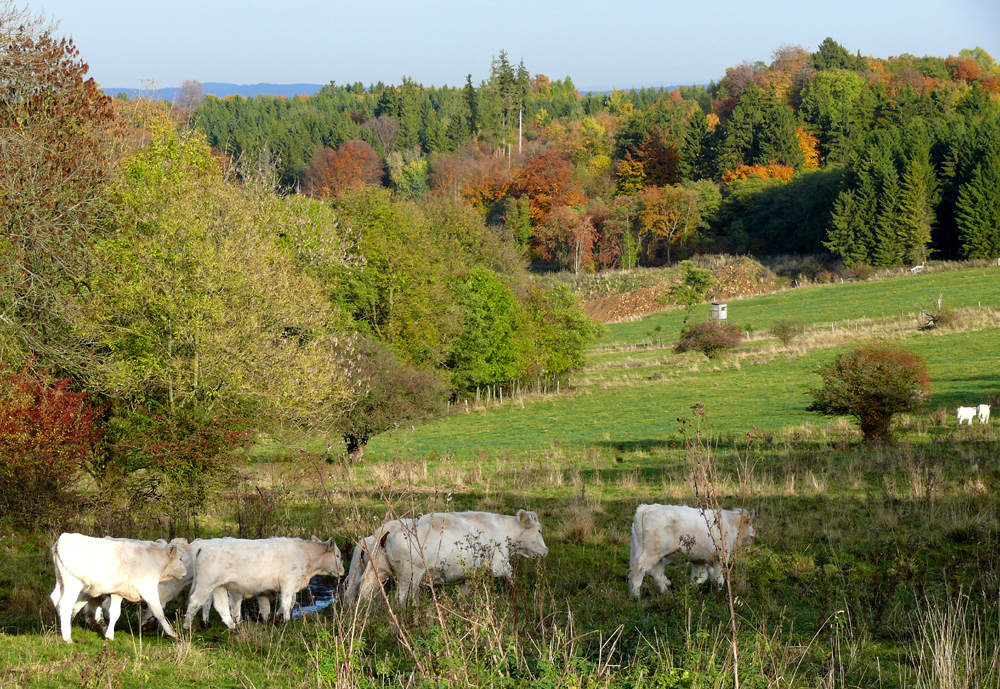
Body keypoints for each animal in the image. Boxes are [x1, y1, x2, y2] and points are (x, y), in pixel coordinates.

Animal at [48, 532, 189, 640]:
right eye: (180, 558)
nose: (185, 572)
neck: (153, 559)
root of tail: (62, 538)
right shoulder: (148, 589)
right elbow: (159, 611)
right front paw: (172, 633)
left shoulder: (119, 592)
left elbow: (115, 613)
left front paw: (109, 635)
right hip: (73, 583)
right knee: (65, 604)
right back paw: (67, 637)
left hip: (61, 580)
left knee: (56, 599)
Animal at [378, 508, 548, 604]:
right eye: (539, 530)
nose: (546, 550)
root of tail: (393, 530)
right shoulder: (499, 564)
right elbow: (511, 575)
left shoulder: (463, 577)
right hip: (410, 575)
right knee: (402, 598)